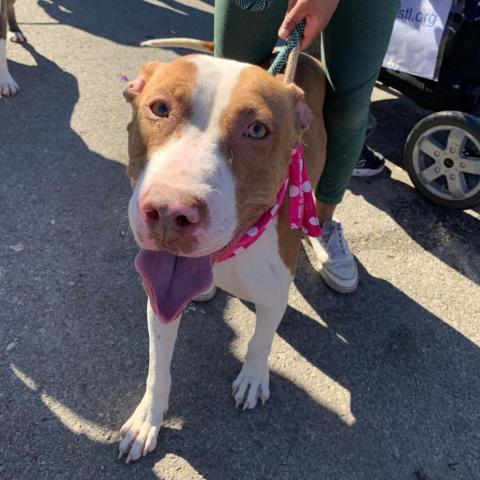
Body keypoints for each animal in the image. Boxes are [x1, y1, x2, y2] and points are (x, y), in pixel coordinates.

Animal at [118, 46, 326, 462]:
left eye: (258, 130)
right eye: (160, 108)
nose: (170, 212)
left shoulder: (275, 293)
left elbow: (261, 340)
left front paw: (253, 378)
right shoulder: (159, 299)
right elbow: (158, 367)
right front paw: (148, 419)